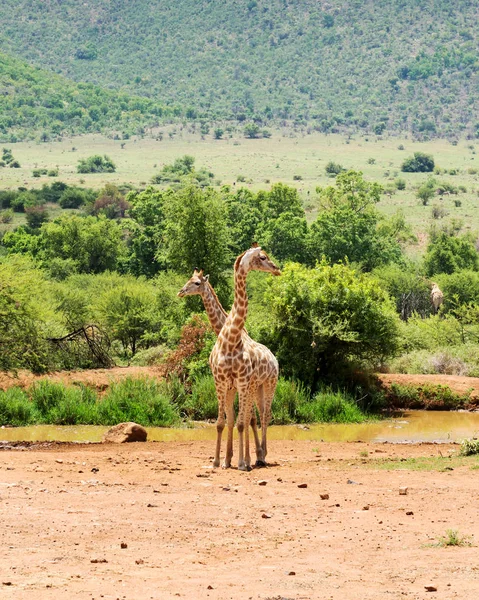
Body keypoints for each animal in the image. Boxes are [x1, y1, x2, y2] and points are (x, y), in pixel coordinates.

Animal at [178, 268, 280, 468]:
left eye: (197, 283)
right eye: (188, 279)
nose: (181, 291)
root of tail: (274, 359)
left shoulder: (244, 384)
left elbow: (245, 418)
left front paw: (244, 458)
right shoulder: (232, 385)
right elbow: (233, 419)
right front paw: (229, 458)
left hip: (269, 383)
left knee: (265, 415)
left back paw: (262, 455)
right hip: (259, 387)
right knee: (260, 414)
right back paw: (258, 454)